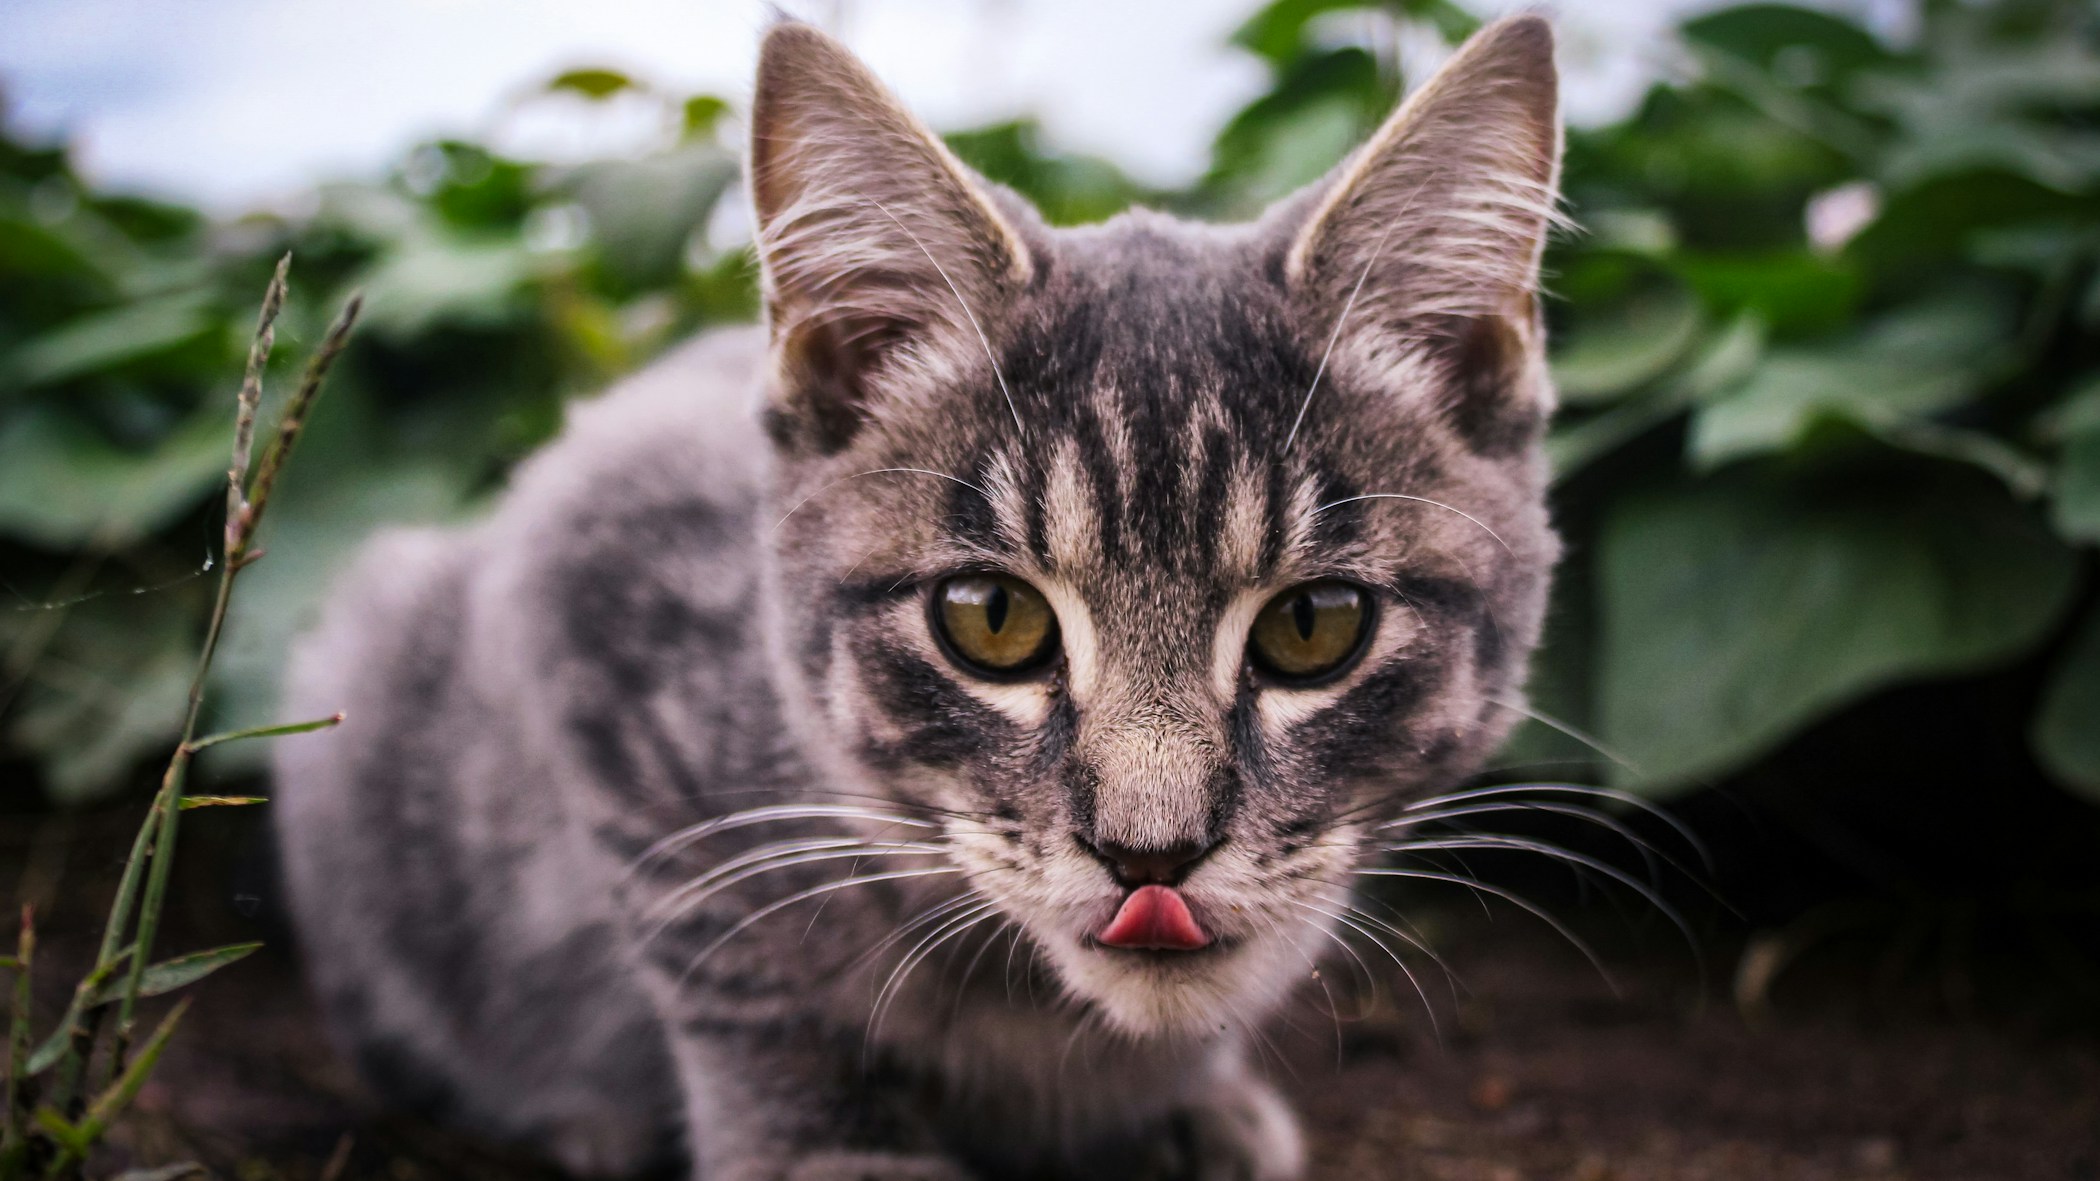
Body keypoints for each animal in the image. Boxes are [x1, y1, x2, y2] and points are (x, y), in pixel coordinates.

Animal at [270, 11, 1562, 1176]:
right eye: (993, 619)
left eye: (1311, 625)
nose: (1151, 852)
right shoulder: (596, 575)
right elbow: (735, 957)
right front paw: (826, 1144)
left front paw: (1188, 1104)